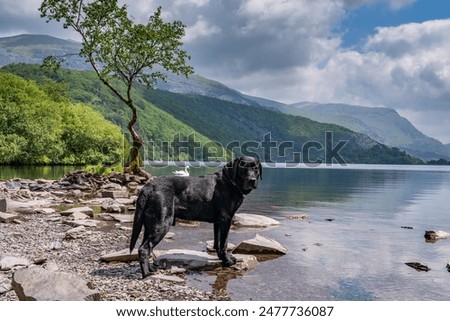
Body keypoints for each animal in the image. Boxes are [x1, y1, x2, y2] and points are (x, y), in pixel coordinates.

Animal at [130, 156, 262, 276]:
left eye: (255, 169)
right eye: (243, 168)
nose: (252, 180)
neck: (230, 181)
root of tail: (148, 187)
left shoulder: (218, 222)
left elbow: (217, 242)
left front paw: (221, 258)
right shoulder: (226, 219)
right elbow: (224, 244)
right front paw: (227, 261)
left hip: (149, 225)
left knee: (146, 247)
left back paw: (151, 268)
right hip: (162, 223)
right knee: (144, 249)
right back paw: (146, 274)